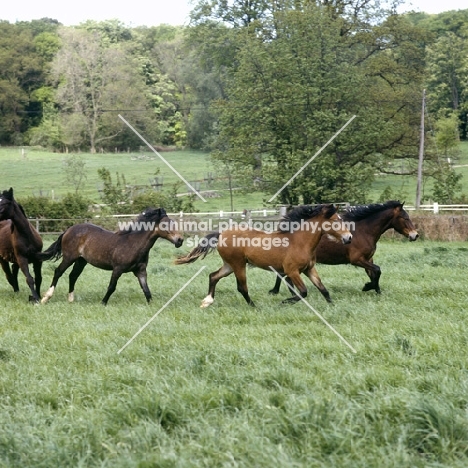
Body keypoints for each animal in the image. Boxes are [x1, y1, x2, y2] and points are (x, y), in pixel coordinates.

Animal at [37, 207, 184, 304]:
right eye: (165, 224)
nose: (180, 240)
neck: (133, 244)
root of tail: (68, 230)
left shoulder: (140, 271)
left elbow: (146, 289)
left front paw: (151, 305)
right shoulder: (117, 269)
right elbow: (111, 287)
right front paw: (103, 303)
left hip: (81, 261)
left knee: (73, 276)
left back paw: (71, 299)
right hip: (69, 257)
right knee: (58, 272)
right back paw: (46, 298)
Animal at [175, 204, 352, 308]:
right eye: (335, 221)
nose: (348, 237)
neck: (300, 242)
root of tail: (221, 234)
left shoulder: (309, 269)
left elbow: (323, 289)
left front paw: (332, 307)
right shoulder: (292, 271)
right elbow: (302, 292)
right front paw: (283, 302)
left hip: (229, 265)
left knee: (213, 276)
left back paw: (207, 301)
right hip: (238, 264)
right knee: (242, 287)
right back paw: (253, 306)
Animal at [268, 198, 418, 294]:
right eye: (405, 218)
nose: (415, 235)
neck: (364, 231)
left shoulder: (368, 259)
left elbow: (374, 273)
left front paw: (376, 291)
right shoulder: (357, 260)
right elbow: (377, 270)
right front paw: (368, 287)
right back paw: (277, 291)